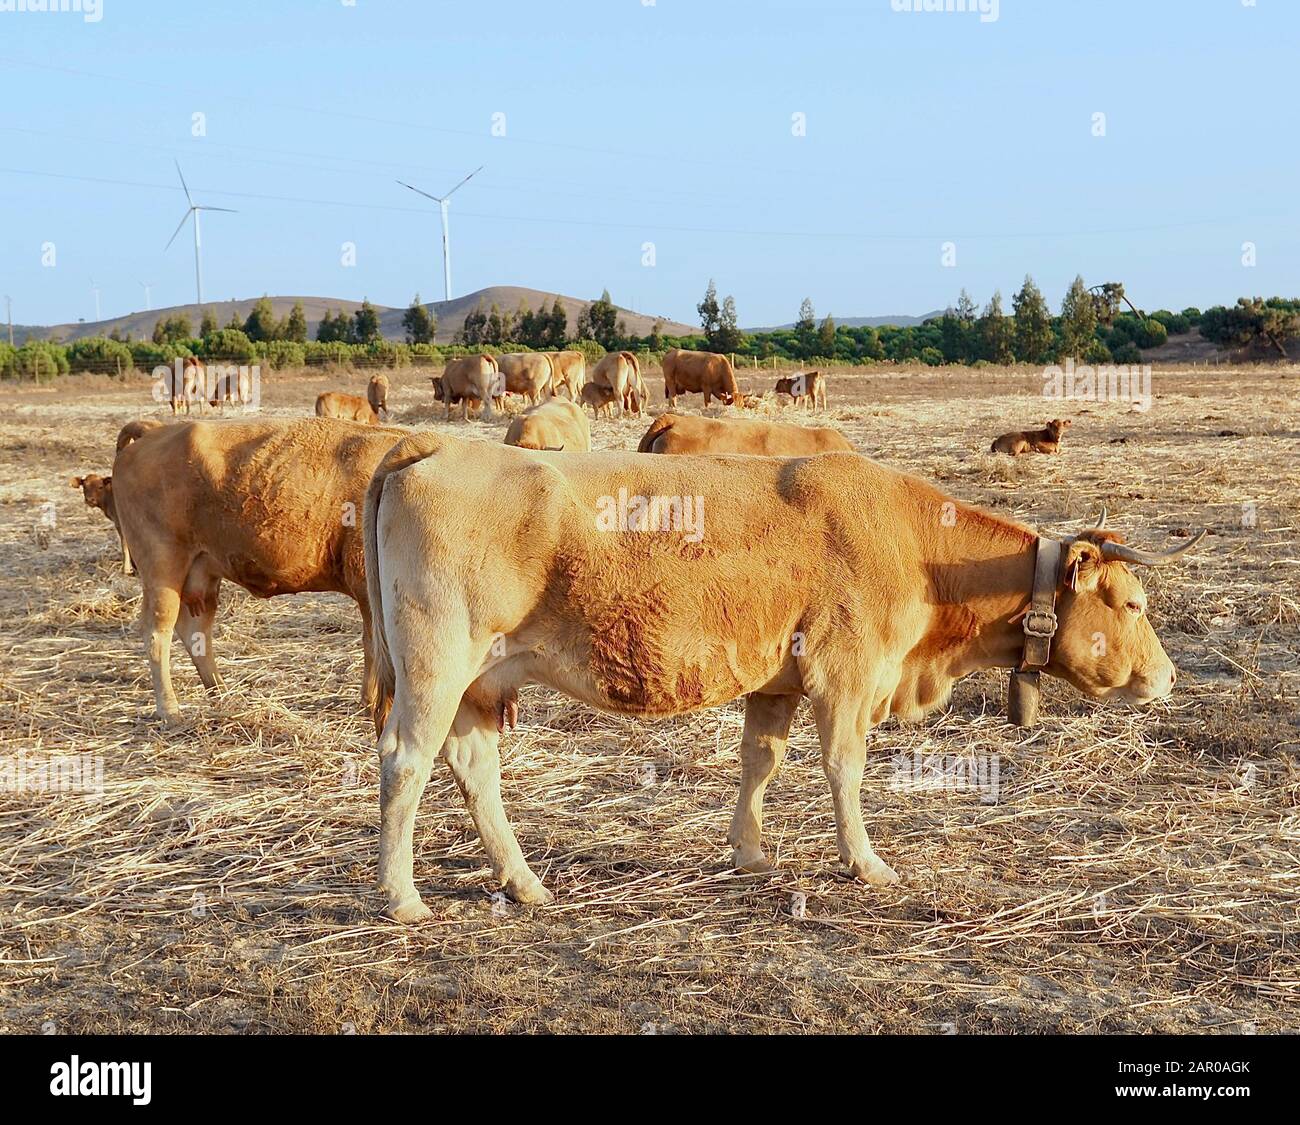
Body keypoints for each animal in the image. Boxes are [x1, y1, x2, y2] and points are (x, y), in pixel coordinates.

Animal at [112, 417, 405, 723]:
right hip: (163, 569)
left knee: (195, 630)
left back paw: (221, 691)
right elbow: (374, 646)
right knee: (158, 633)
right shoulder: (367, 588)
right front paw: (371, 703)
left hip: (201, 574)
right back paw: (170, 711)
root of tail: (154, 431)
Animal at [362, 433, 1203, 921]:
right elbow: (844, 770)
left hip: (480, 682)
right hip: (437, 666)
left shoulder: (774, 682)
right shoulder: (847, 676)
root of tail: (430, 448)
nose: (1166, 677)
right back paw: (401, 896)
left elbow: (759, 762)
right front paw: (865, 861)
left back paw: (523, 882)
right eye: (1133, 602)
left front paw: (751, 853)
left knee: (474, 767)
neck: (923, 550)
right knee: (405, 762)